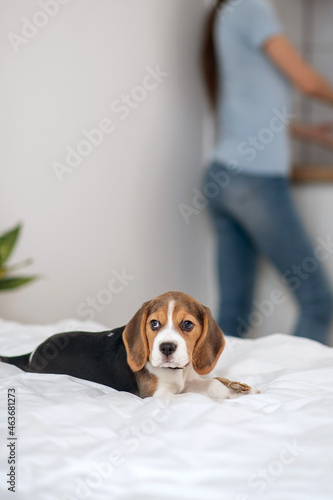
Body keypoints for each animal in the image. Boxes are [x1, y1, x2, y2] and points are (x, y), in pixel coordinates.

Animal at [0, 292, 258, 400]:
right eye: (154, 323)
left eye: (187, 324)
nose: (166, 348)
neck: (176, 373)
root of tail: (31, 355)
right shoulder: (158, 396)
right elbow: (186, 396)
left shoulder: (190, 381)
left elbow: (211, 383)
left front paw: (234, 390)